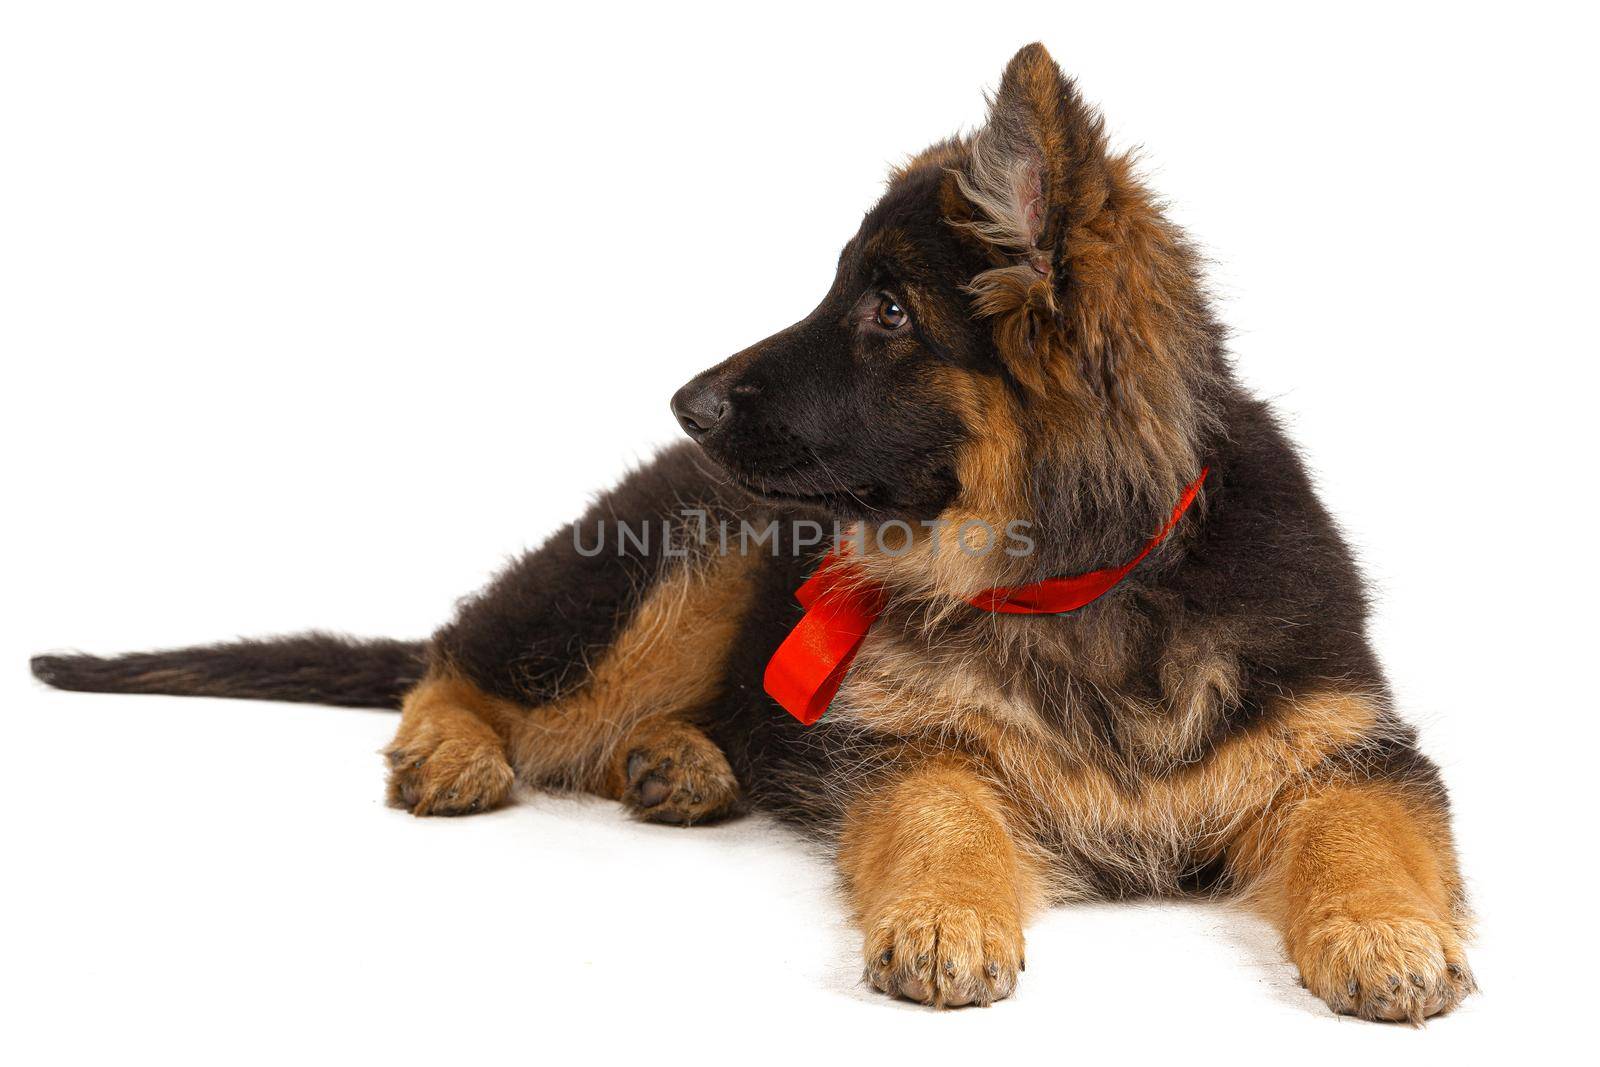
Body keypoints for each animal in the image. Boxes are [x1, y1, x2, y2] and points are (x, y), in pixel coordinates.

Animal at [31, 45, 1472, 1023]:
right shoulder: (903, 744)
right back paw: (456, 748)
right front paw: (946, 909)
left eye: (887, 310)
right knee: (462, 651)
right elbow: (944, 802)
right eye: (845, 289)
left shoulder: (1348, 746)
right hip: (689, 562)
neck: (1076, 582)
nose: (685, 400)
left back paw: (680, 760)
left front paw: (1386, 933)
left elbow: (1366, 825)